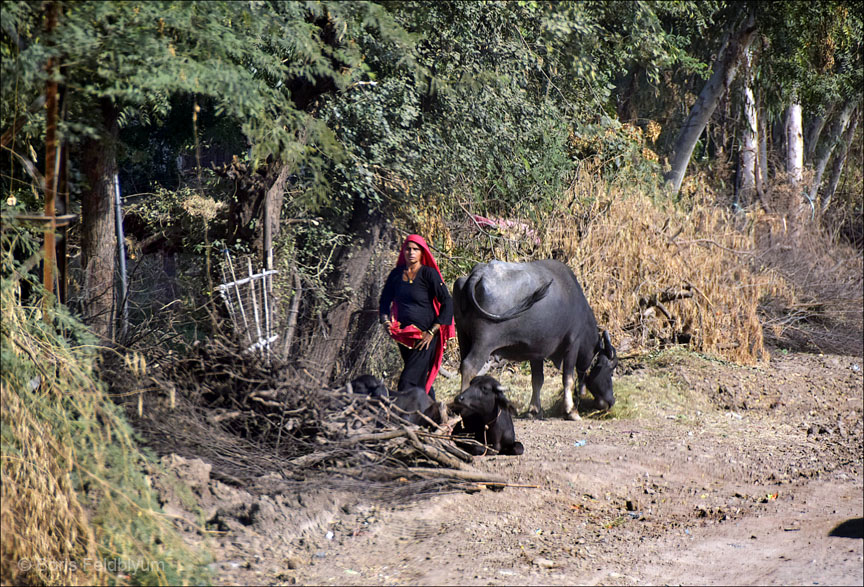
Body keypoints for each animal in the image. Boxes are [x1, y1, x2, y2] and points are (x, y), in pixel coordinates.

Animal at [456, 260, 616, 420]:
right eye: (611, 370)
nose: (611, 401)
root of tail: (480, 272)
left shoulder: (536, 353)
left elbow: (537, 380)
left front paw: (534, 410)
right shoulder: (572, 345)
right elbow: (568, 379)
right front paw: (571, 411)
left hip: (463, 337)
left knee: (464, 366)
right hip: (484, 343)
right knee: (469, 366)